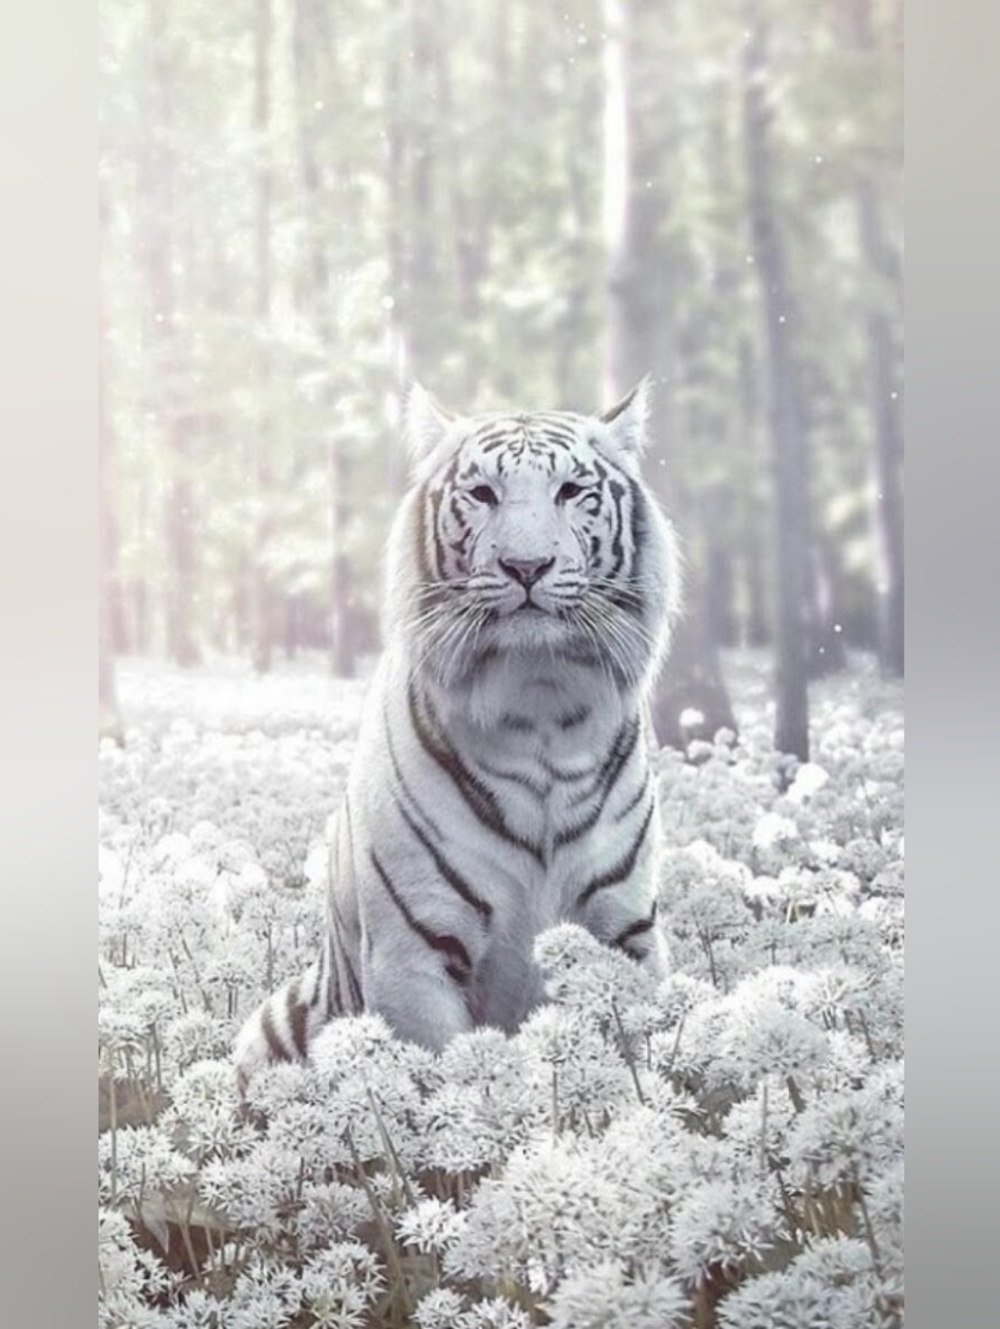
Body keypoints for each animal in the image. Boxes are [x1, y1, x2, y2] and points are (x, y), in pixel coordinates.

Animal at [234, 379, 682, 1090]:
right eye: (482, 494)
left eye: (570, 491)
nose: (527, 565)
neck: (540, 711)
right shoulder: (413, 951)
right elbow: (443, 1087)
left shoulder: (625, 933)